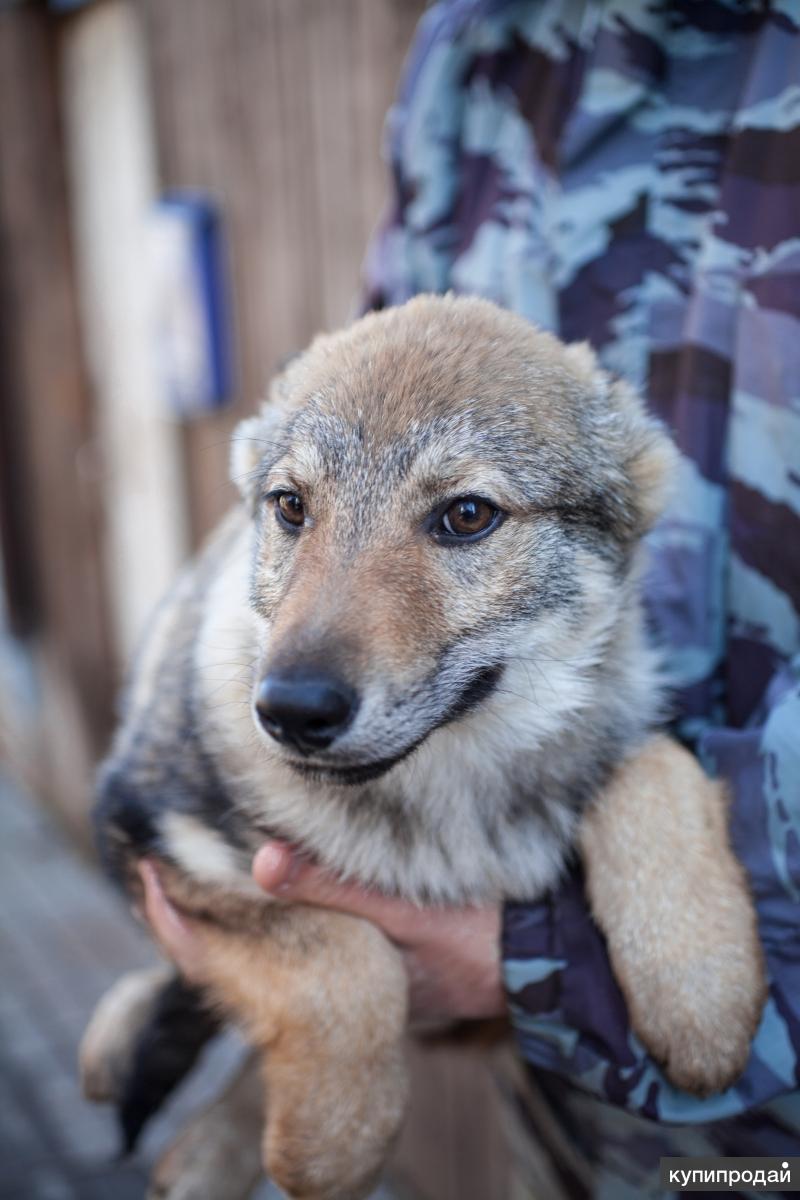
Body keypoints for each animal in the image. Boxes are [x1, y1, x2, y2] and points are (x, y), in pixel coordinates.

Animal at [84, 292, 767, 1200]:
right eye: (291, 506)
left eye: (467, 515)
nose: (291, 710)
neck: (446, 803)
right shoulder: (155, 843)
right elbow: (345, 963)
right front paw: (333, 1142)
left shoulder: (630, 730)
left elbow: (658, 768)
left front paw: (702, 987)